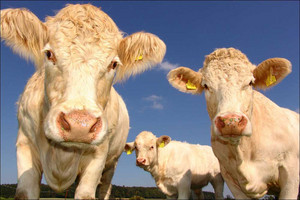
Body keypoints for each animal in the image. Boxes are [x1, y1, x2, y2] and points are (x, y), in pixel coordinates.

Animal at [0, 3, 166, 199]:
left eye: (114, 64)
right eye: (49, 54)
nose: (79, 125)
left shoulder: (99, 156)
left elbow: (86, 194)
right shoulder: (25, 145)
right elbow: (25, 193)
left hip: (111, 164)